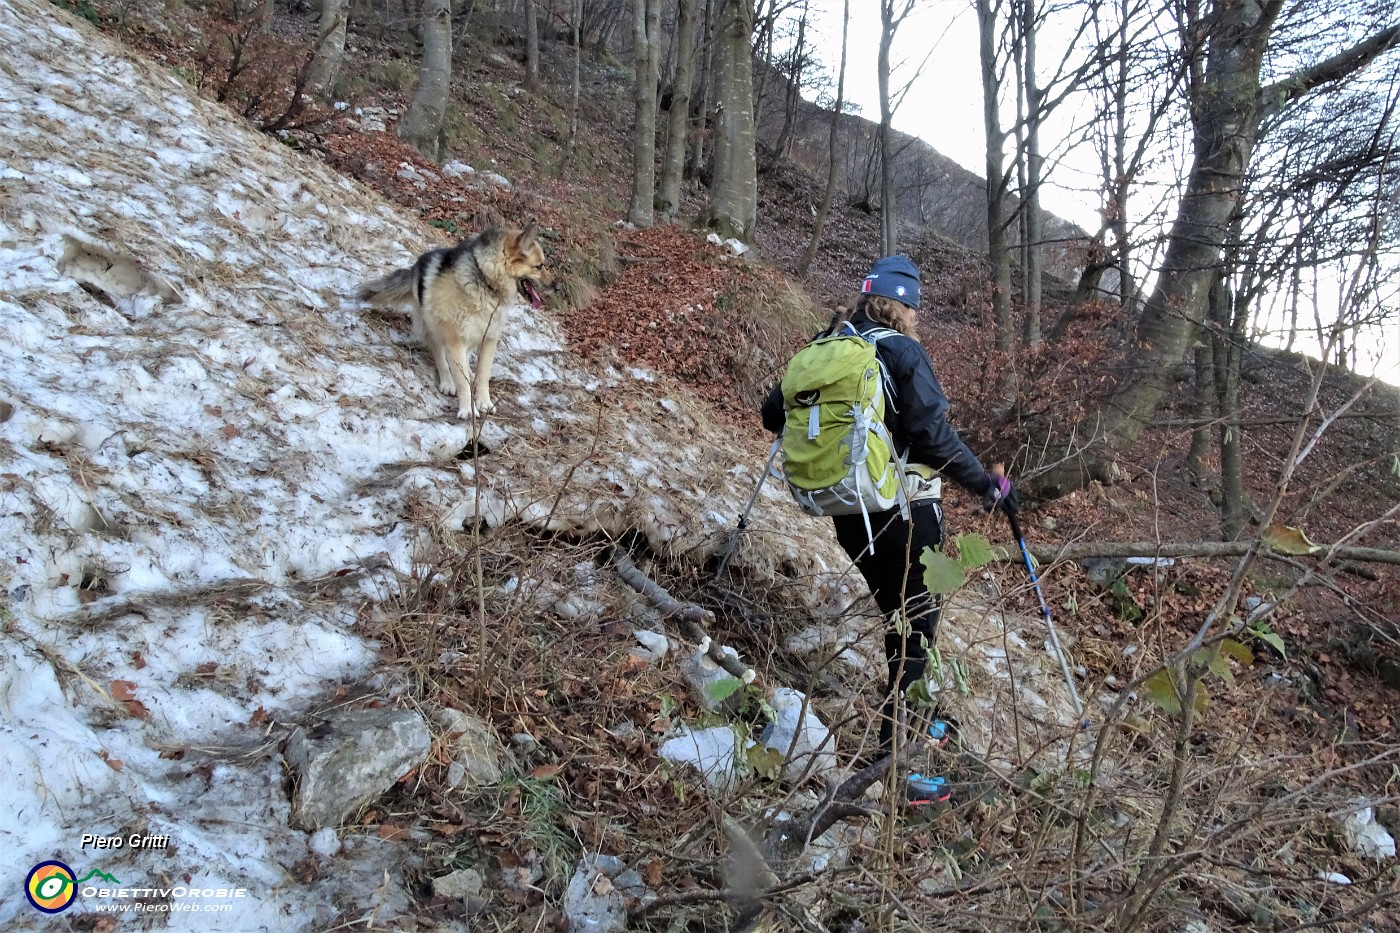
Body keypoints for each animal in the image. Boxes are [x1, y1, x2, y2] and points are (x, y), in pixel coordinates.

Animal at [355, 218, 551, 417]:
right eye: (539, 266)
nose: (556, 286)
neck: (485, 280)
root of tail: (416, 267)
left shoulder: (488, 339)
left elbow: (483, 375)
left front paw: (484, 402)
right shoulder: (455, 341)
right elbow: (461, 381)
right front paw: (467, 409)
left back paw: (470, 374)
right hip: (432, 329)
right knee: (442, 358)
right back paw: (448, 382)